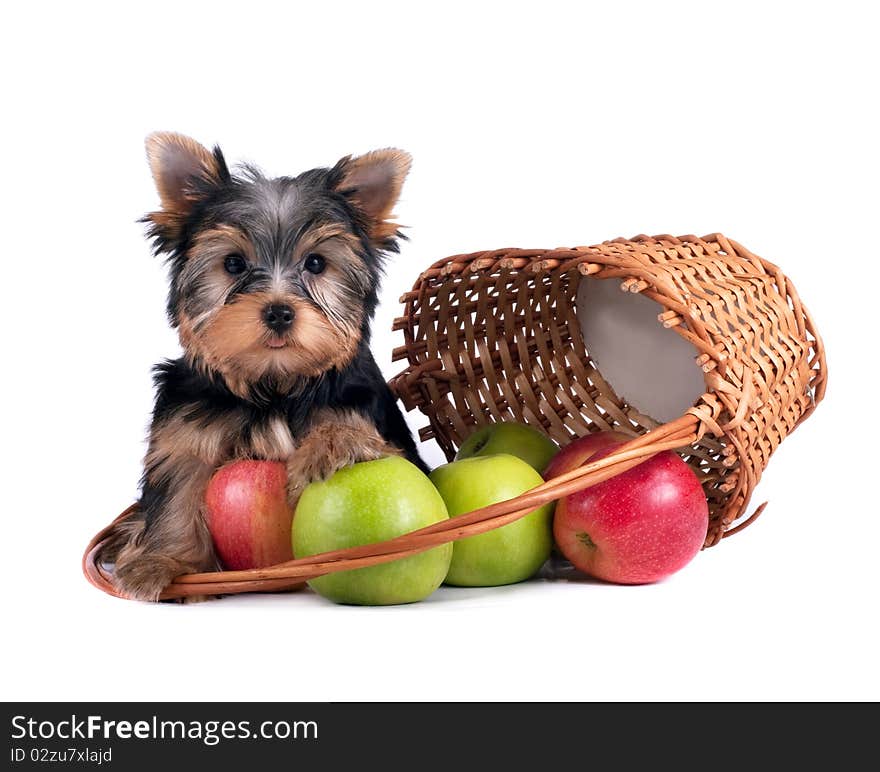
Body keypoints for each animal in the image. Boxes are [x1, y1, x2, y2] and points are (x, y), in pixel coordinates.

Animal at [103, 134, 426, 604]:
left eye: (316, 263)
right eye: (233, 264)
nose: (278, 311)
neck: (275, 385)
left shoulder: (369, 415)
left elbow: (356, 433)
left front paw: (333, 444)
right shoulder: (184, 428)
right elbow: (178, 487)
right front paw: (167, 562)